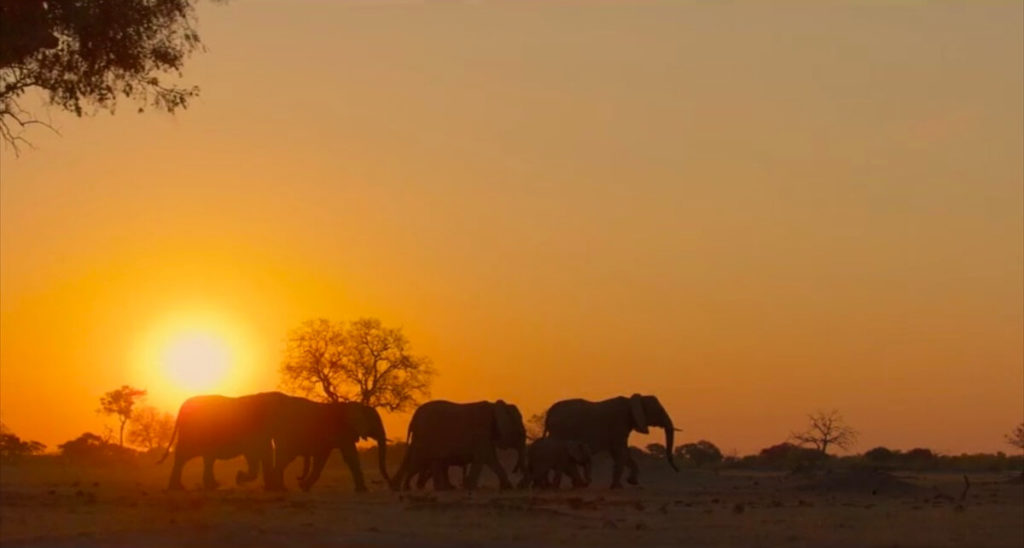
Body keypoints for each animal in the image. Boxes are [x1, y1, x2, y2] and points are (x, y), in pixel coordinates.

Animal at [158, 393, 288, 491]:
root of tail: (183, 406)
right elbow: (255, 453)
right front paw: (239, 478)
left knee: (203, 458)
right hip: (192, 432)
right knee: (185, 456)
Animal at [391, 399, 528, 493]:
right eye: (520, 433)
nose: (520, 486)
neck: (495, 406)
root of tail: (413, 418)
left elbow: (492, 459)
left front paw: (508, 487)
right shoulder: (481, 433)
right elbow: (486, 457)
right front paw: (470, 487)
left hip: (421, 436)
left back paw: (398, 487)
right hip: (425, 436)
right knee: (420, 460)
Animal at [544, 395, 679, 489]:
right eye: (658, 411)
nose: (677, 470)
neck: (632, 400)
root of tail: (549, 413)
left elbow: (622, 454)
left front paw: (631, 482)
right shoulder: (618, 425)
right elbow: (621, 452)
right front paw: (618, 487)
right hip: (560, 431)